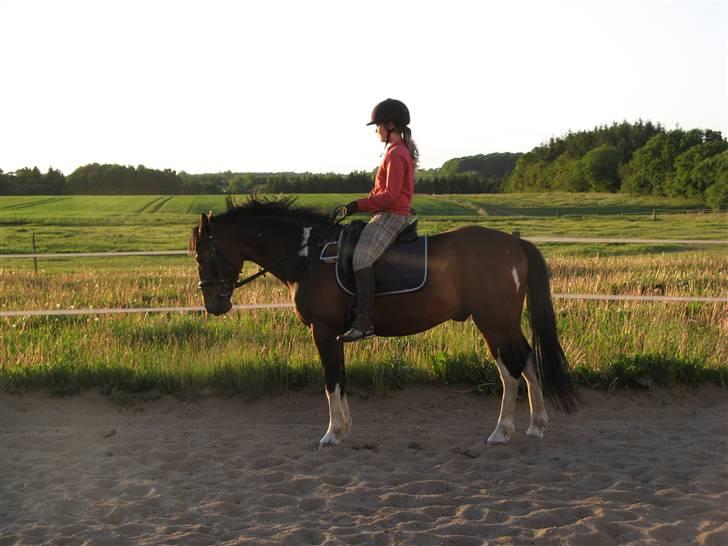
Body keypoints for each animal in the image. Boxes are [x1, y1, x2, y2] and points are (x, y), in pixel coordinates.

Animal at [191, 196, 576, 446]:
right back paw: (537, 424)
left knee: (509, 371)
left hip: (493, 323)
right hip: (506, 322)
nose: (214, 304)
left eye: (205, 254)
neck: (308, 256)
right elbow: (341, 379)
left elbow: (330, 380)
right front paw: (344, 429)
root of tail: (515, 244)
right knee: (528, 360)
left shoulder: (324, 331)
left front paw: (332, 433)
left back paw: (502, 430)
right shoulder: (335, 334)